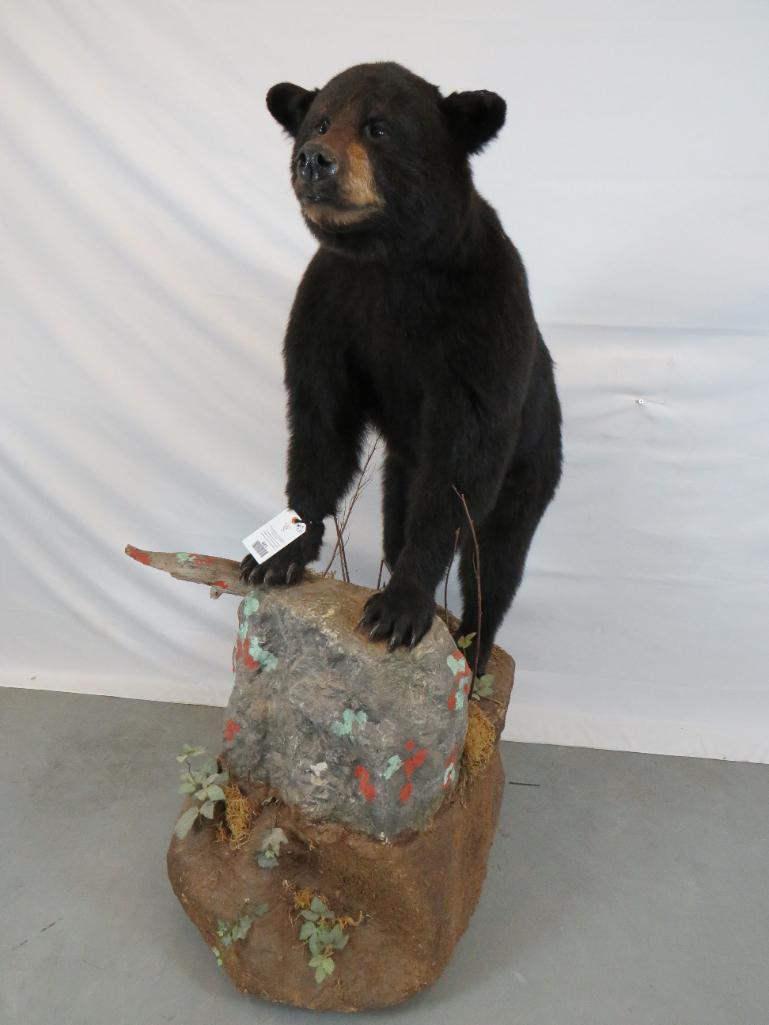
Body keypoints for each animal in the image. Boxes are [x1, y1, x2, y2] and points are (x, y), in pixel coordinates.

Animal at [240, 62, 563, 676]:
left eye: (379, 128)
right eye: (319, 120)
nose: (313, 159)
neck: (391, 264)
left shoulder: (482, 318)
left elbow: (463, 458)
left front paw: (399, 608)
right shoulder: (332, 308)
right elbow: (320, 421)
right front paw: (279, 555)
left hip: (532, 471)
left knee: (496, 565)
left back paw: (474, 650)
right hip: (400, 468)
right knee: (397, 522)